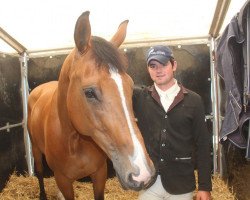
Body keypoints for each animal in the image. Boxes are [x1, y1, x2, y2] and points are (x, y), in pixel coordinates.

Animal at [28, 11, 155, 200]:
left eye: (130, 86)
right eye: (89, 93)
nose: (143, 174)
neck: (76, 141)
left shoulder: (100, 173)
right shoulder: (62, 179)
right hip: (36, 149)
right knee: (39, 171)